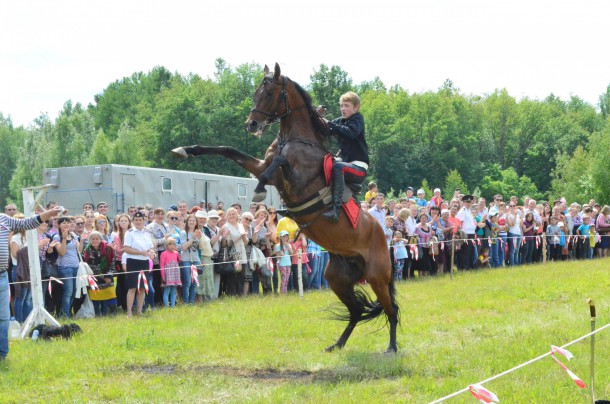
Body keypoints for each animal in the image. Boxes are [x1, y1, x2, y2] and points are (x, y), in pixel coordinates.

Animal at [172, 63, 400, 354]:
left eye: (269, 92)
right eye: (257, 91)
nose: (252, 124)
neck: (297, 140)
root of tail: (384, 236)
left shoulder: (294, 177)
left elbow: (278, 162)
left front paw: (259, 190)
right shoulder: (261, 165)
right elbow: (228, 149)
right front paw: (185, 149)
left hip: (377, 276)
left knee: (390, 309)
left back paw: (391, 347)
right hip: (338, 277)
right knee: (356, 311)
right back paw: (337, 344)